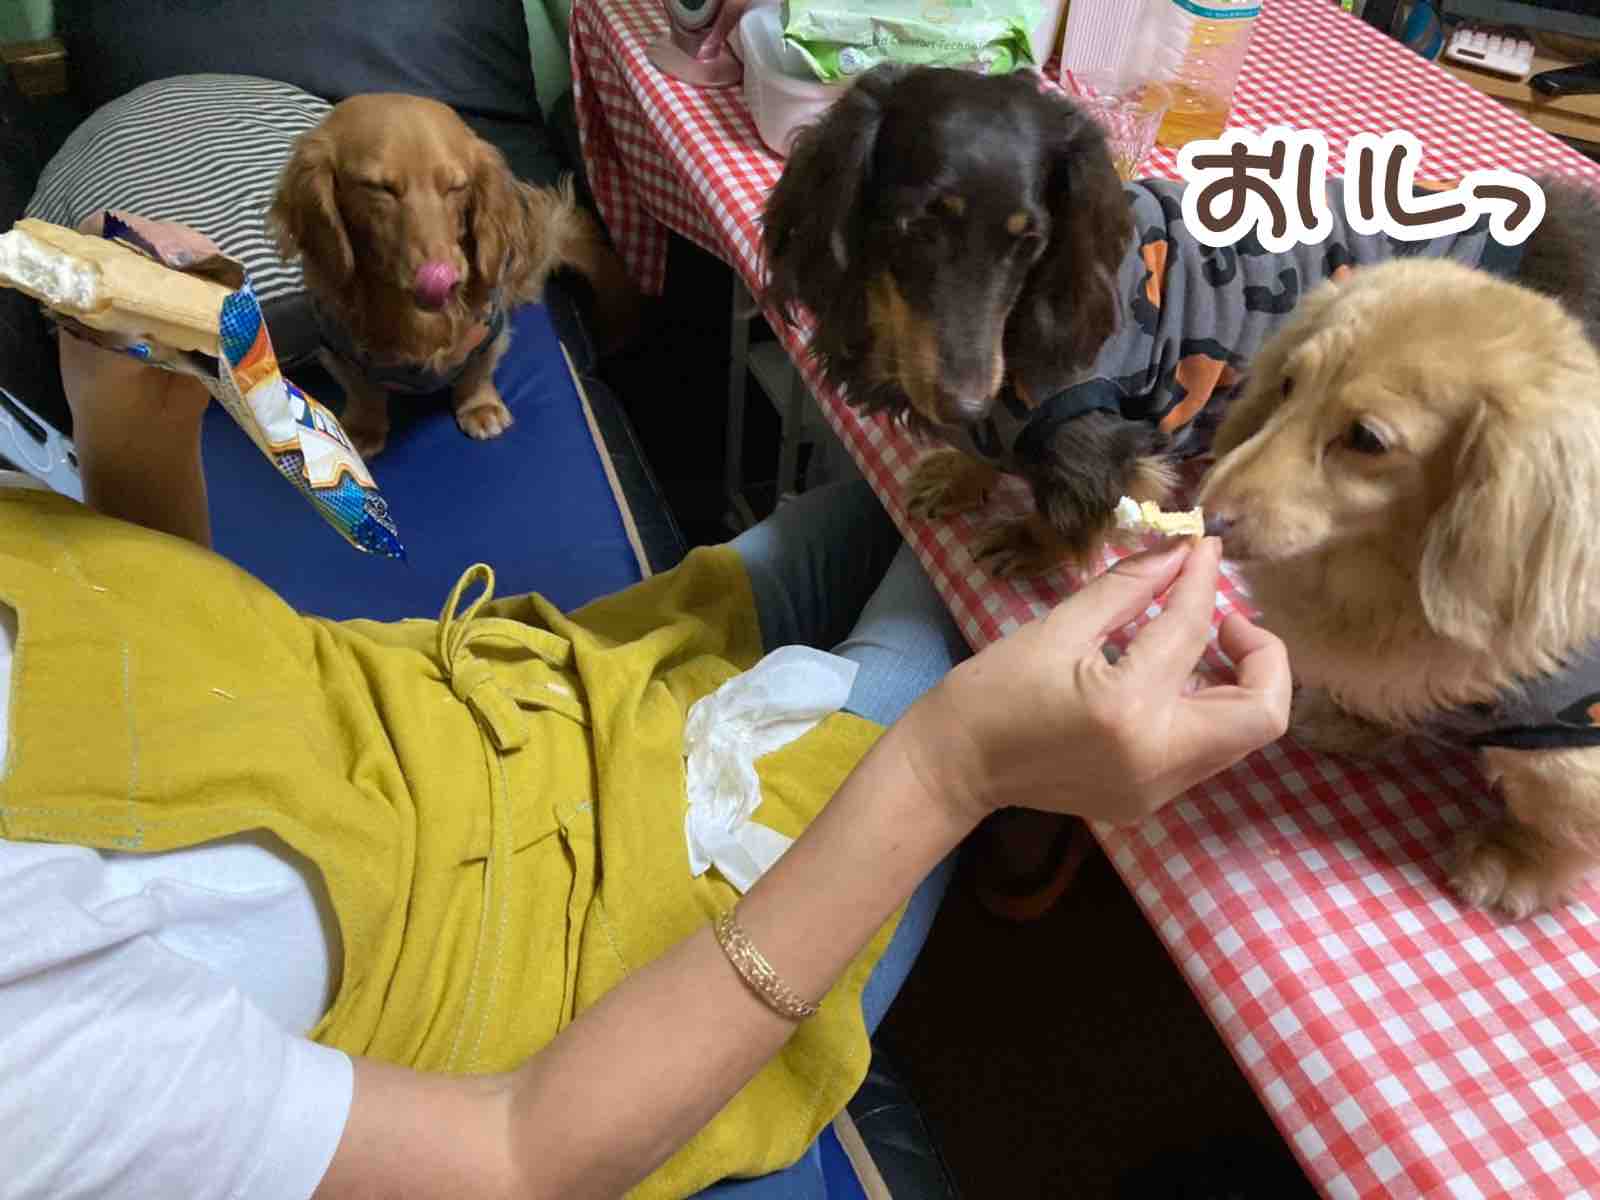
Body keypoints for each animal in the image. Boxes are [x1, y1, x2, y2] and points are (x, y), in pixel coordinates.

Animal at [270, 93, 621, 458]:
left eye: (457, 187)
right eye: (378, 188)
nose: (445, 276)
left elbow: (477, 373)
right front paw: (363, 427)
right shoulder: (337, 347)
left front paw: (480, 407)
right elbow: (362, 390)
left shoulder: (489, 331)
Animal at [761, 64, 1600, 577]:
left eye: (1029, 240)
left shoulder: (1096, 436)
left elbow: (1078, 499)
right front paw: (962, 471)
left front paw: (1034, 544)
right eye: (914, 228)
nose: (965, 402)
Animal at [1199, 257, 1600, 919]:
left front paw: (1519, 862)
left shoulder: (1566, 751)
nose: (1206, 518)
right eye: (1287, 385)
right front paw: (1349, 718)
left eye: (1366, 439)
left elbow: (1558, 820)